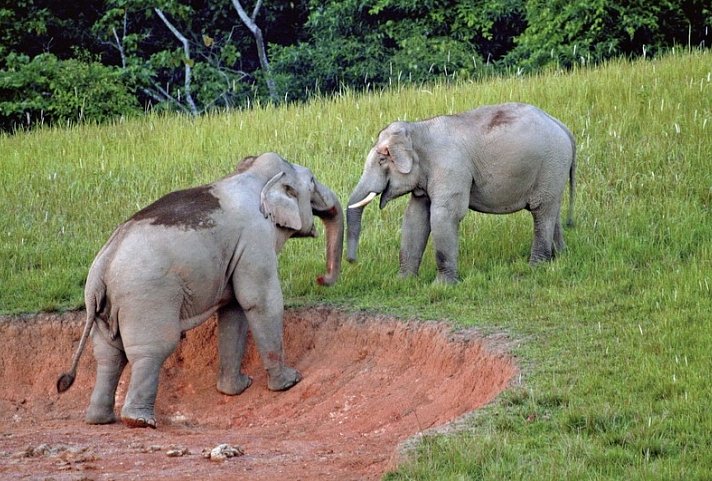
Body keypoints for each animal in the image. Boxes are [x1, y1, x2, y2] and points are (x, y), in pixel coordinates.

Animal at [58, 151, 342, 428]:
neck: (251, 175)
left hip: (107, 307)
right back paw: (139, 421)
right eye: (312, 180)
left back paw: (100, 419)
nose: (320, 278)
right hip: (145, 298)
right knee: (151, 349)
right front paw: (289, 382)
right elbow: (258, 301)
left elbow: (234, 309)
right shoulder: (255, 238)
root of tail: (101, 267)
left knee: (108, 354)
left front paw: (237, 388)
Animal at [348, 100, 576, 282]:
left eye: (382, 160)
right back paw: (560, 258)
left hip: (551, 164)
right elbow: (415, 217)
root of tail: (562, 126)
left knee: (541, 210)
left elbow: (444, 215)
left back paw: (536, 267)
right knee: (551, 209)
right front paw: (403, 282)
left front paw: (442, 286)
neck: (418, 128)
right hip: (553, 172)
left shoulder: (451, 167)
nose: (352, 261)